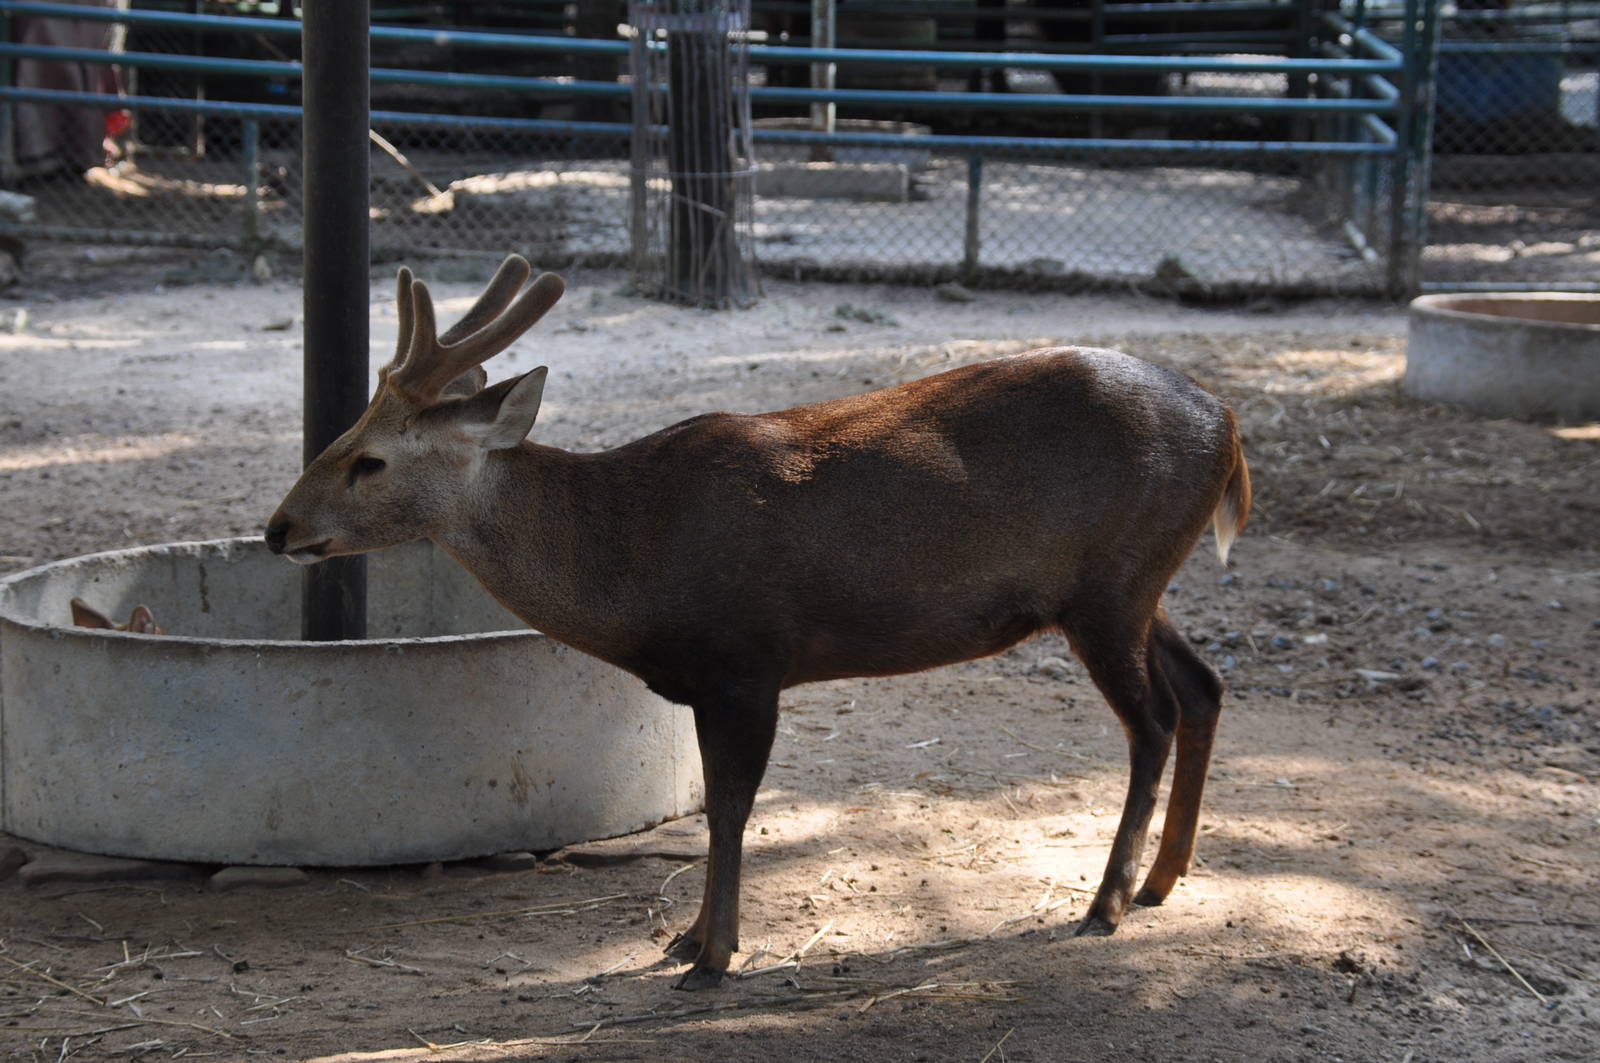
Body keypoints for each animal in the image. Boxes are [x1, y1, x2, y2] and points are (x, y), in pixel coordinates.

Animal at [265, 254, 1251, 990]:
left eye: (369, 459)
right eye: (343, 431)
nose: (278, 529)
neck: (633, 561)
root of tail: (1228, 423)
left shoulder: (747, 657)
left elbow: (733, 805)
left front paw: (709, 956)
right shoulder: (712, 679)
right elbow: (716, 803)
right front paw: (688, 936)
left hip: (1113, 583)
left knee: (1154, 719)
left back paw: (1106, 901)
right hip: (1133, 584)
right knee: (1205, 685)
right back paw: (1163, 879)